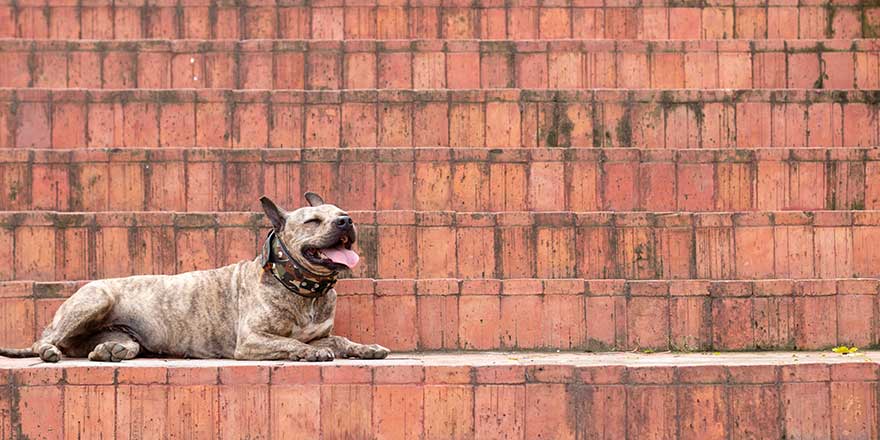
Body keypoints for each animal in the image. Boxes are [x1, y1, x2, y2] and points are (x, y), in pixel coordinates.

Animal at [0, 192, 388, 360]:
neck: (306, 290)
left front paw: (364, 348)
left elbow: (339, 340)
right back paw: (49, 350)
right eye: (313, 221)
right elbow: (292, 344)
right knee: (45, 340)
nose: (347, 221)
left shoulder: (321, 334)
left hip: (117, 333)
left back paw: (110, 350)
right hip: (97, 299)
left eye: (342, 212)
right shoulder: (251, 340)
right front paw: (306, 354)